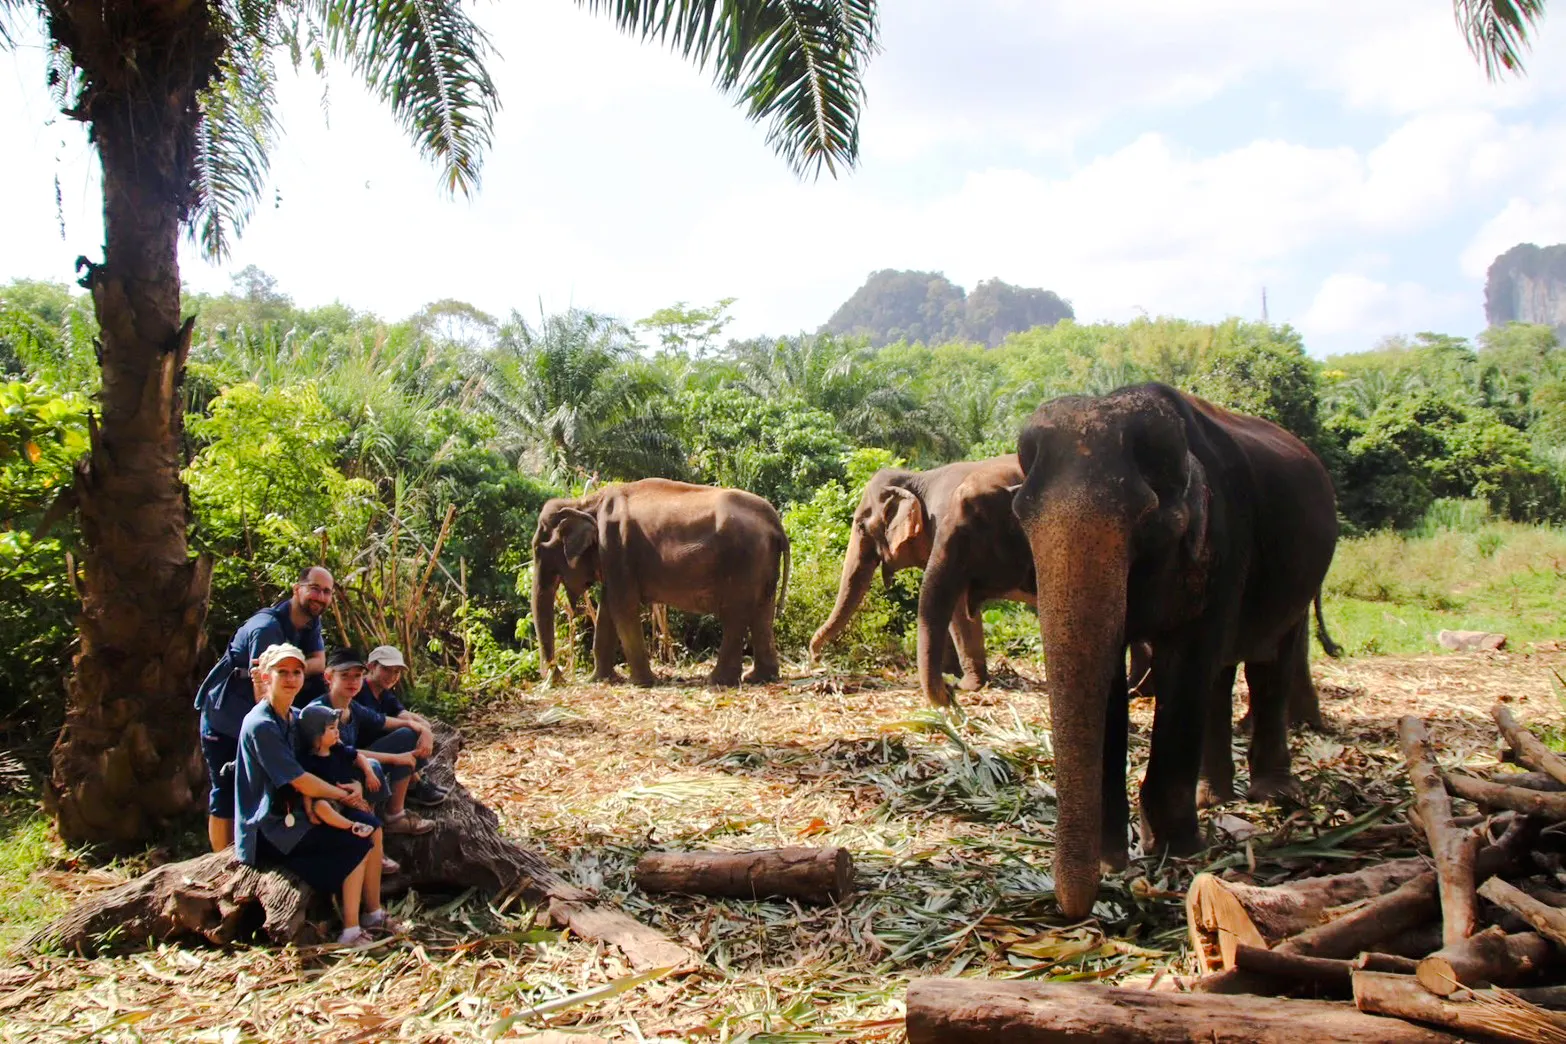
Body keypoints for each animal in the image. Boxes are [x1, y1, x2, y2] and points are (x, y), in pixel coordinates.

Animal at [531, 479, 790, 688]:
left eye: (538, 549)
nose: (557, 678)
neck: (584, 503)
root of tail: (774, 521)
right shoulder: (612, 558)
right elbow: (607, 610)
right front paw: (600, 680)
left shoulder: (616, 547)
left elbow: (622, 607)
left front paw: (643, 683)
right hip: (762, 562)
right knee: (762, 612)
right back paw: (758, 678)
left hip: (743, 560)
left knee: (735, 616)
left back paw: (717, 680)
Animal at [810, 455, 1024, 691]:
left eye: (860, 526)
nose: (816, 659)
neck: (918, 477)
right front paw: (949, 675)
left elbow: (955, 601)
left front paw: (967, 686)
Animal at [1012, 383, 1338, 920]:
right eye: (1021, 518)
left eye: (1148, 522)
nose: (1074, 910)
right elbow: (1110, 679)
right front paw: (1113, 858)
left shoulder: (1227, 543)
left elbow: (1186, 665)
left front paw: (1175, 849)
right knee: (1222, 674)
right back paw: (1213, 796)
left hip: (1304, 575)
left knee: (1268, 661)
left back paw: (1271, 794)